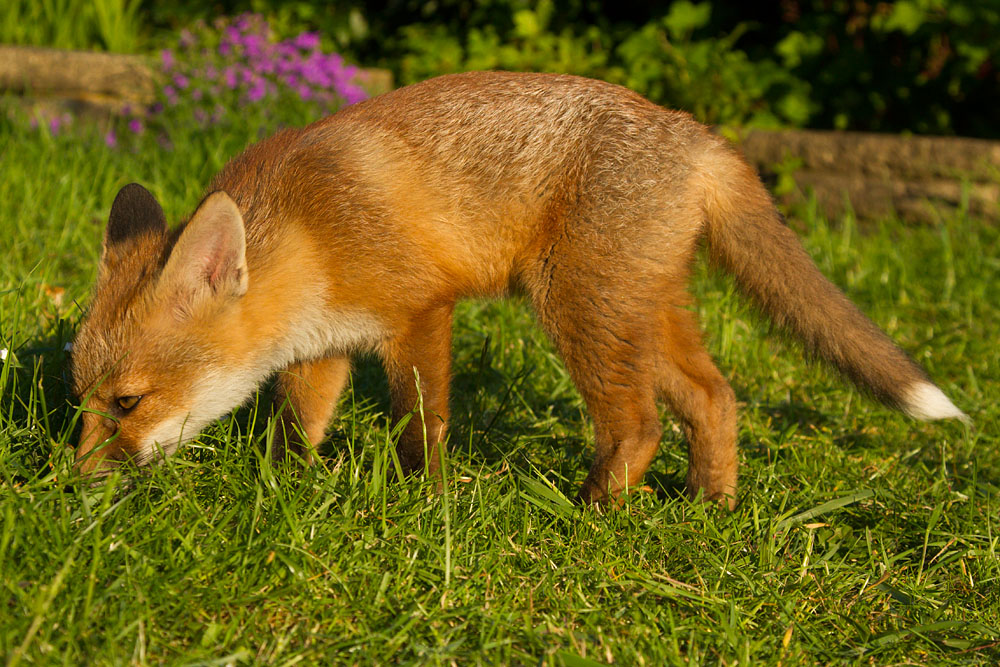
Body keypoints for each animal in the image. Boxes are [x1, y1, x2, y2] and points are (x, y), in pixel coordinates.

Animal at [70, 71, 968, 508]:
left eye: (126, 402)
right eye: (82, 399)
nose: (68, 486)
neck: (307, 229)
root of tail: (696, 133)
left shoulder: (420, 308)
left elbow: (421, 424)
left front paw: (422, 502)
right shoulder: (321, 344)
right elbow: (301, 424)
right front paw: (294, 482)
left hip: (576, 306)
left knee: (639, 424)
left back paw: (591, 513)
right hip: (640, 312)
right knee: (714, 398)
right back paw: (711, 509)